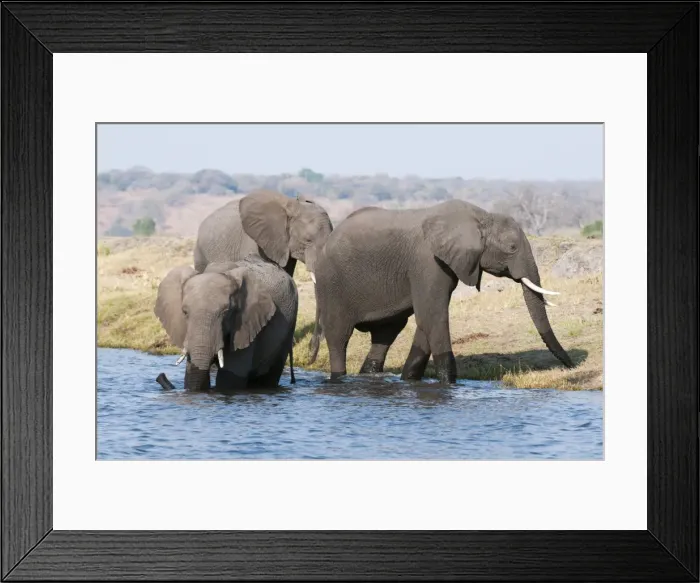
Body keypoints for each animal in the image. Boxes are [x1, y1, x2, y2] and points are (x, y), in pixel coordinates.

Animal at [153, 255, 298, 391]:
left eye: (226, 312)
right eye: (184, 312)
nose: (160, 376)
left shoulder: (246, 325)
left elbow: (229, 379)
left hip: (289, 325)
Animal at [313, 199, 575, 384]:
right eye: (511, 247)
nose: (572, 366)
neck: (481, 217)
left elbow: (427, 319)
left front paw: (409, 380)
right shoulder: (427, 262)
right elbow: (433, 316)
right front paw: (449, 384)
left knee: (386, 333)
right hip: (331, 284)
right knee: (339, 336)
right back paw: (339, 379)